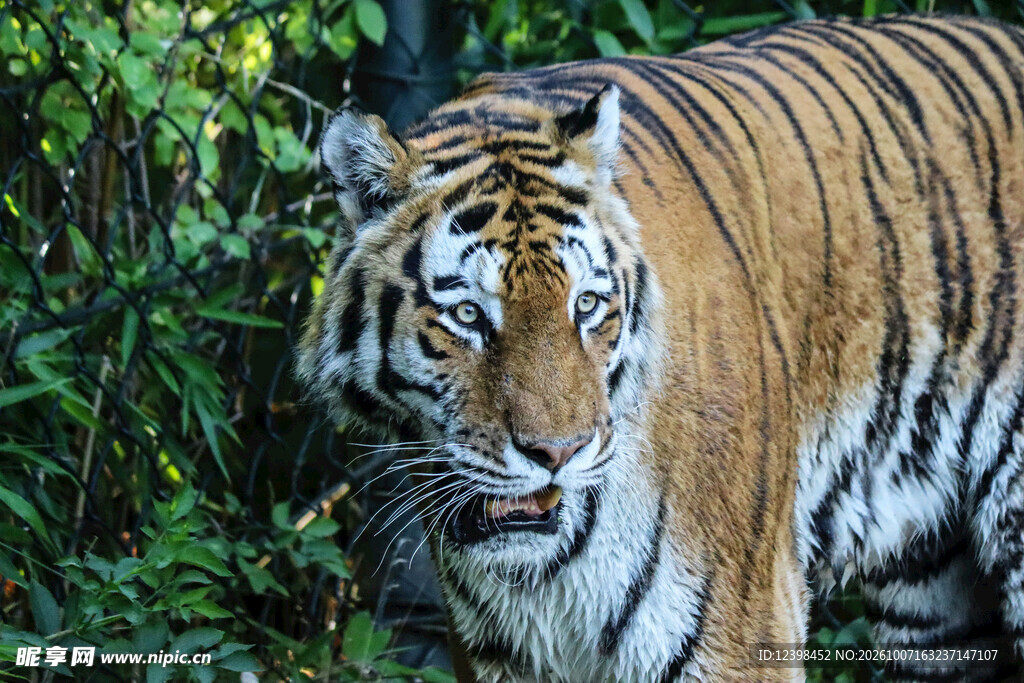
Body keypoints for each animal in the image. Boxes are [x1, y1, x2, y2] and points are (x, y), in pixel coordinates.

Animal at [297, 13, 1024, 683]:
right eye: (469, 315)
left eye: (586, 305)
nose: (558, 454)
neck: (547, 571)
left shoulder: (740, 628)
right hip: (929, 585)